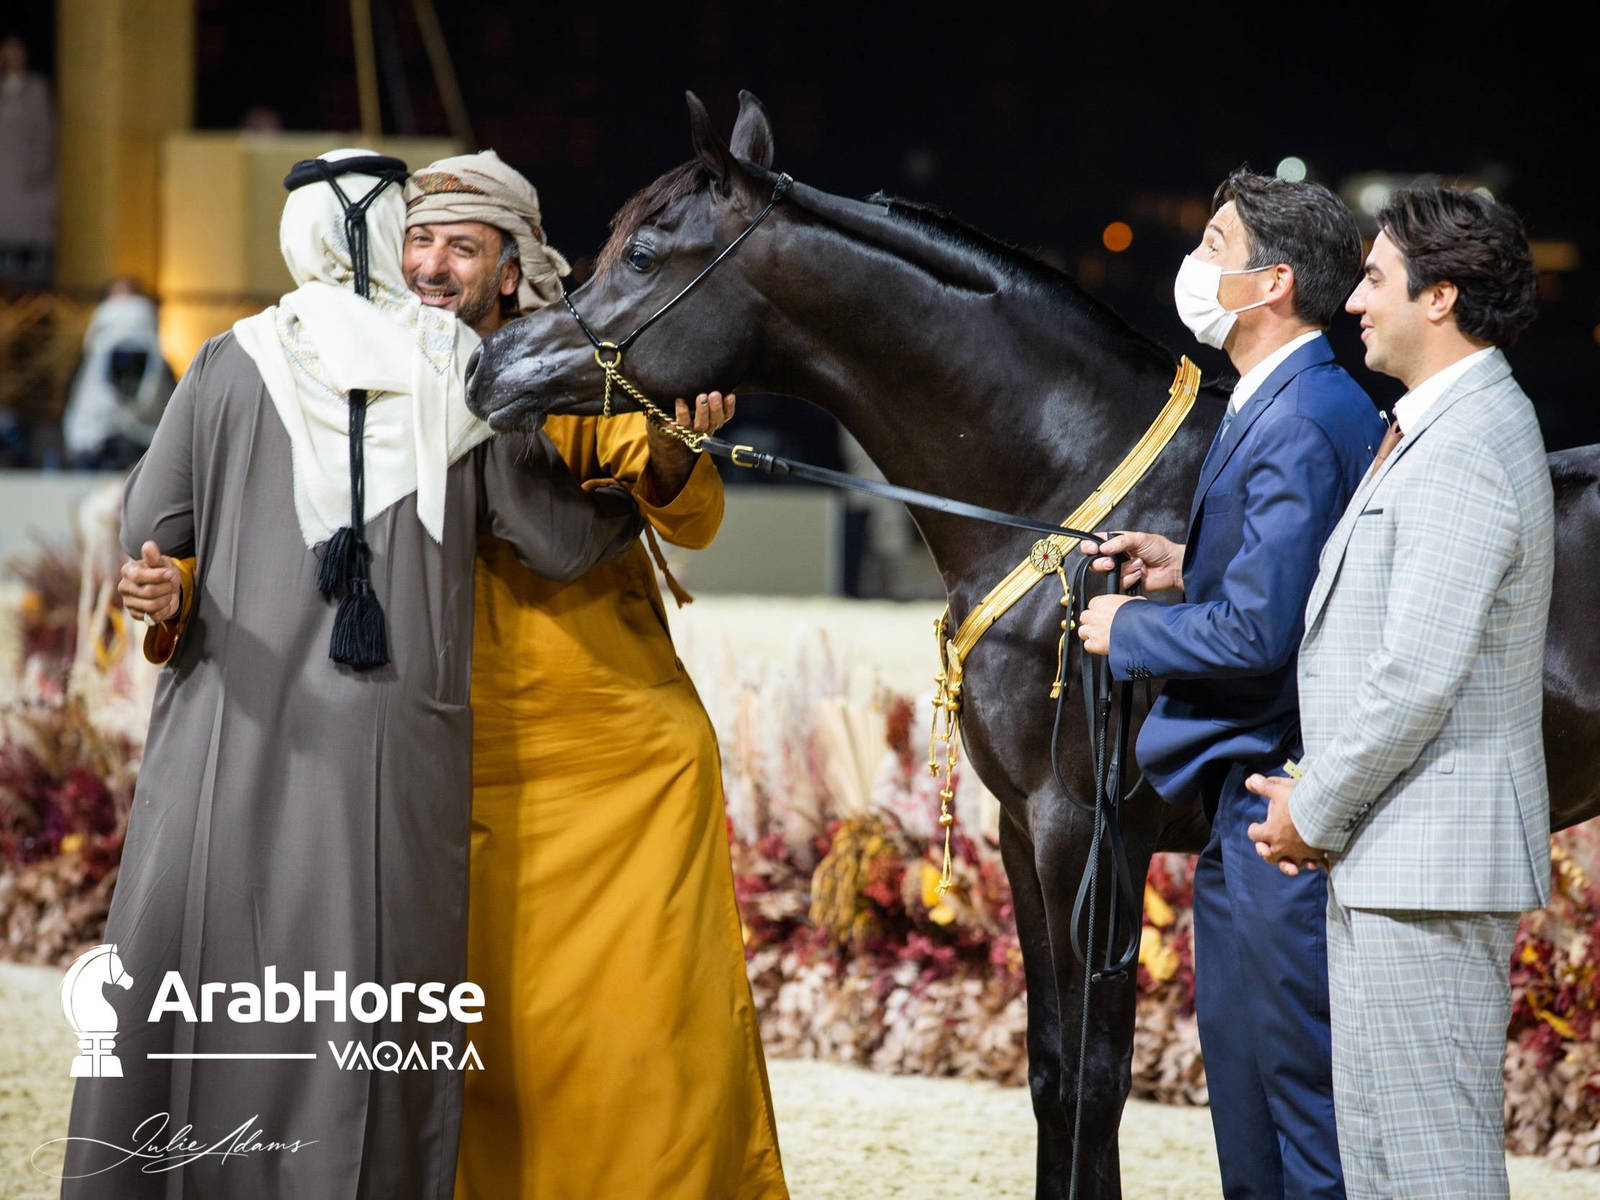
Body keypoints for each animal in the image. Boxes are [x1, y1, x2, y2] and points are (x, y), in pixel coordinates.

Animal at [465, 90, 1600, 1198]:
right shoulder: (1022, 829)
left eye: (643, 254)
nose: (489, 366)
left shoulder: (1087, 832)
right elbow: (1051, 1071)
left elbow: (1096, 1079)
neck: (1064, 491)